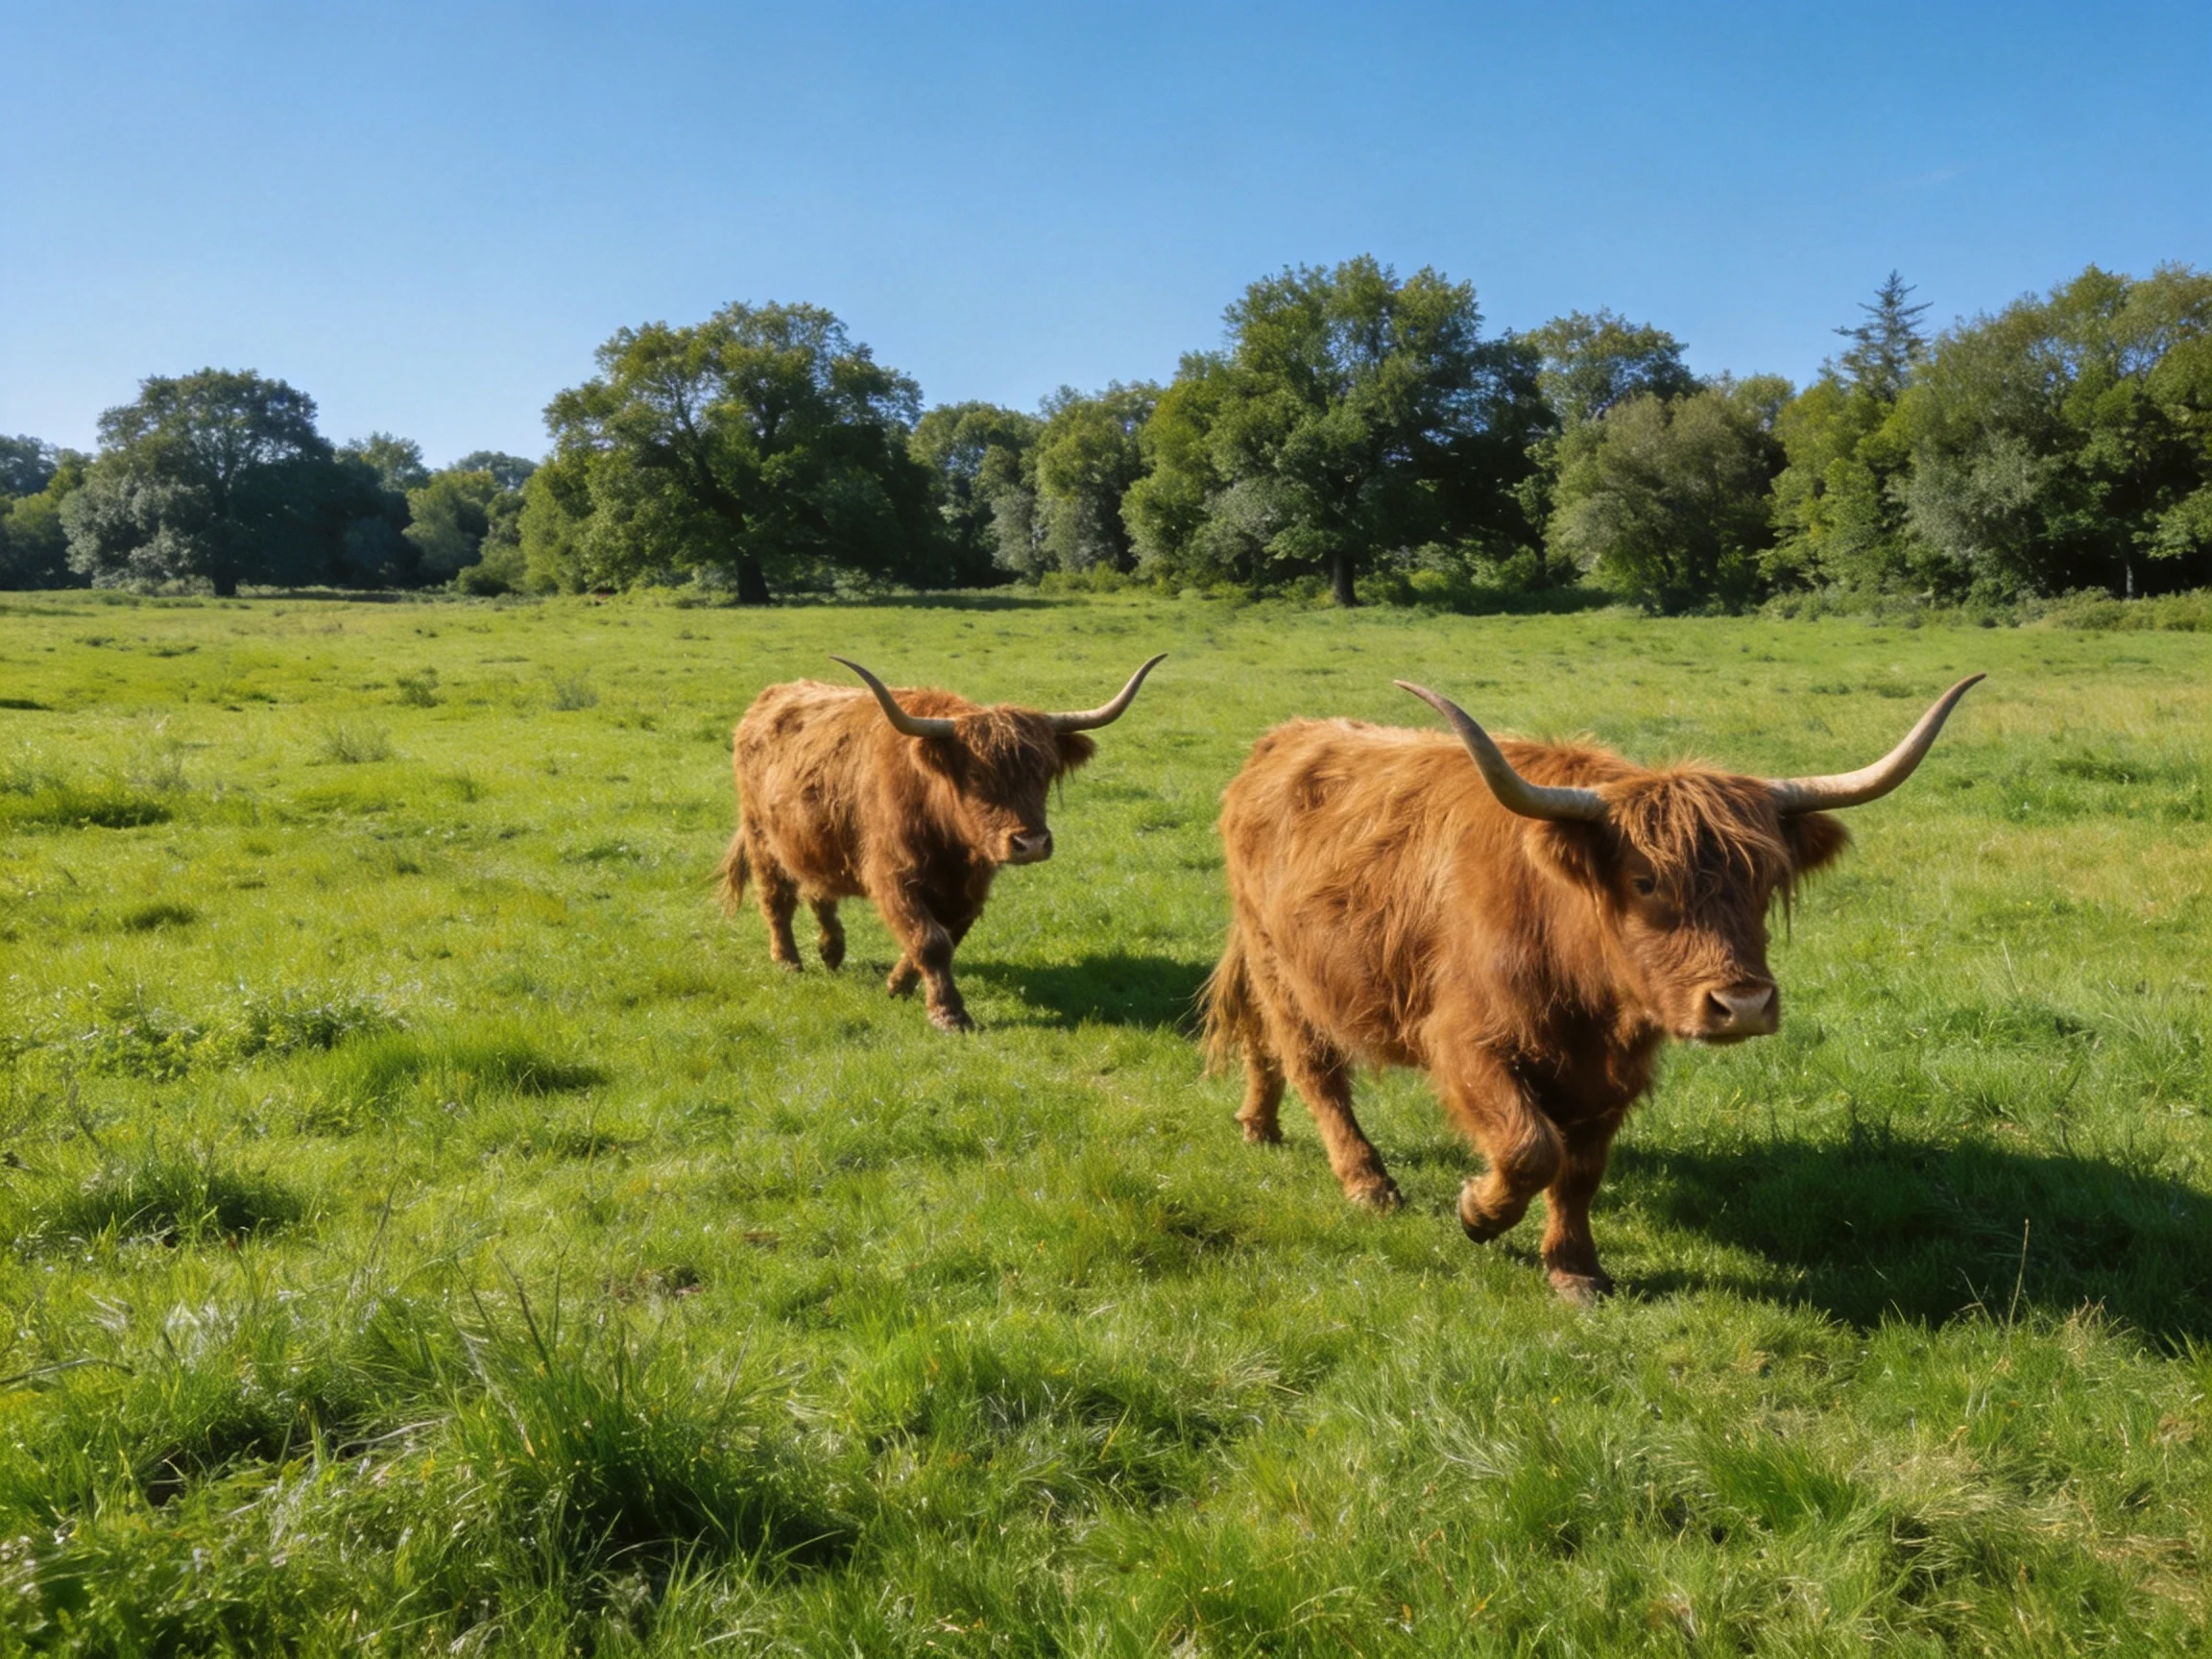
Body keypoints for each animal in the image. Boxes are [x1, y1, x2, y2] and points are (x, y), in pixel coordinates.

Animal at [718, 654, 1166, 1032]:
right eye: (977, 776)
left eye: (1043, 772)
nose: (1032, 843)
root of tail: (770, 698)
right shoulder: (891, 875)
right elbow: (929, 941)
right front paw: (948, 1013)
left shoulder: (971, 888)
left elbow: (946, 935)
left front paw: (899, 984)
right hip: (762, 839)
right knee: (776, 899)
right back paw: (788, 962)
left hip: (816, 841)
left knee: (819, 892)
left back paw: (832, 951)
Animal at [1203, 675, 1982, 1302]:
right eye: (1644, 881)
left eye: (1763, 882)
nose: (1743, 1006)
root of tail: (1283, 738)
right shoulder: (1463, 1041)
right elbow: (1529, 1147)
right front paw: (1477, 1212)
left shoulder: (1614, 1074)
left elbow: (1578, 1170)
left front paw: (1576, 1270)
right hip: (1283, 970)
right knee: (1314, 1067)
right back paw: (1368, 1183)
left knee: (1265, 1047)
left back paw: (1258, 1124)